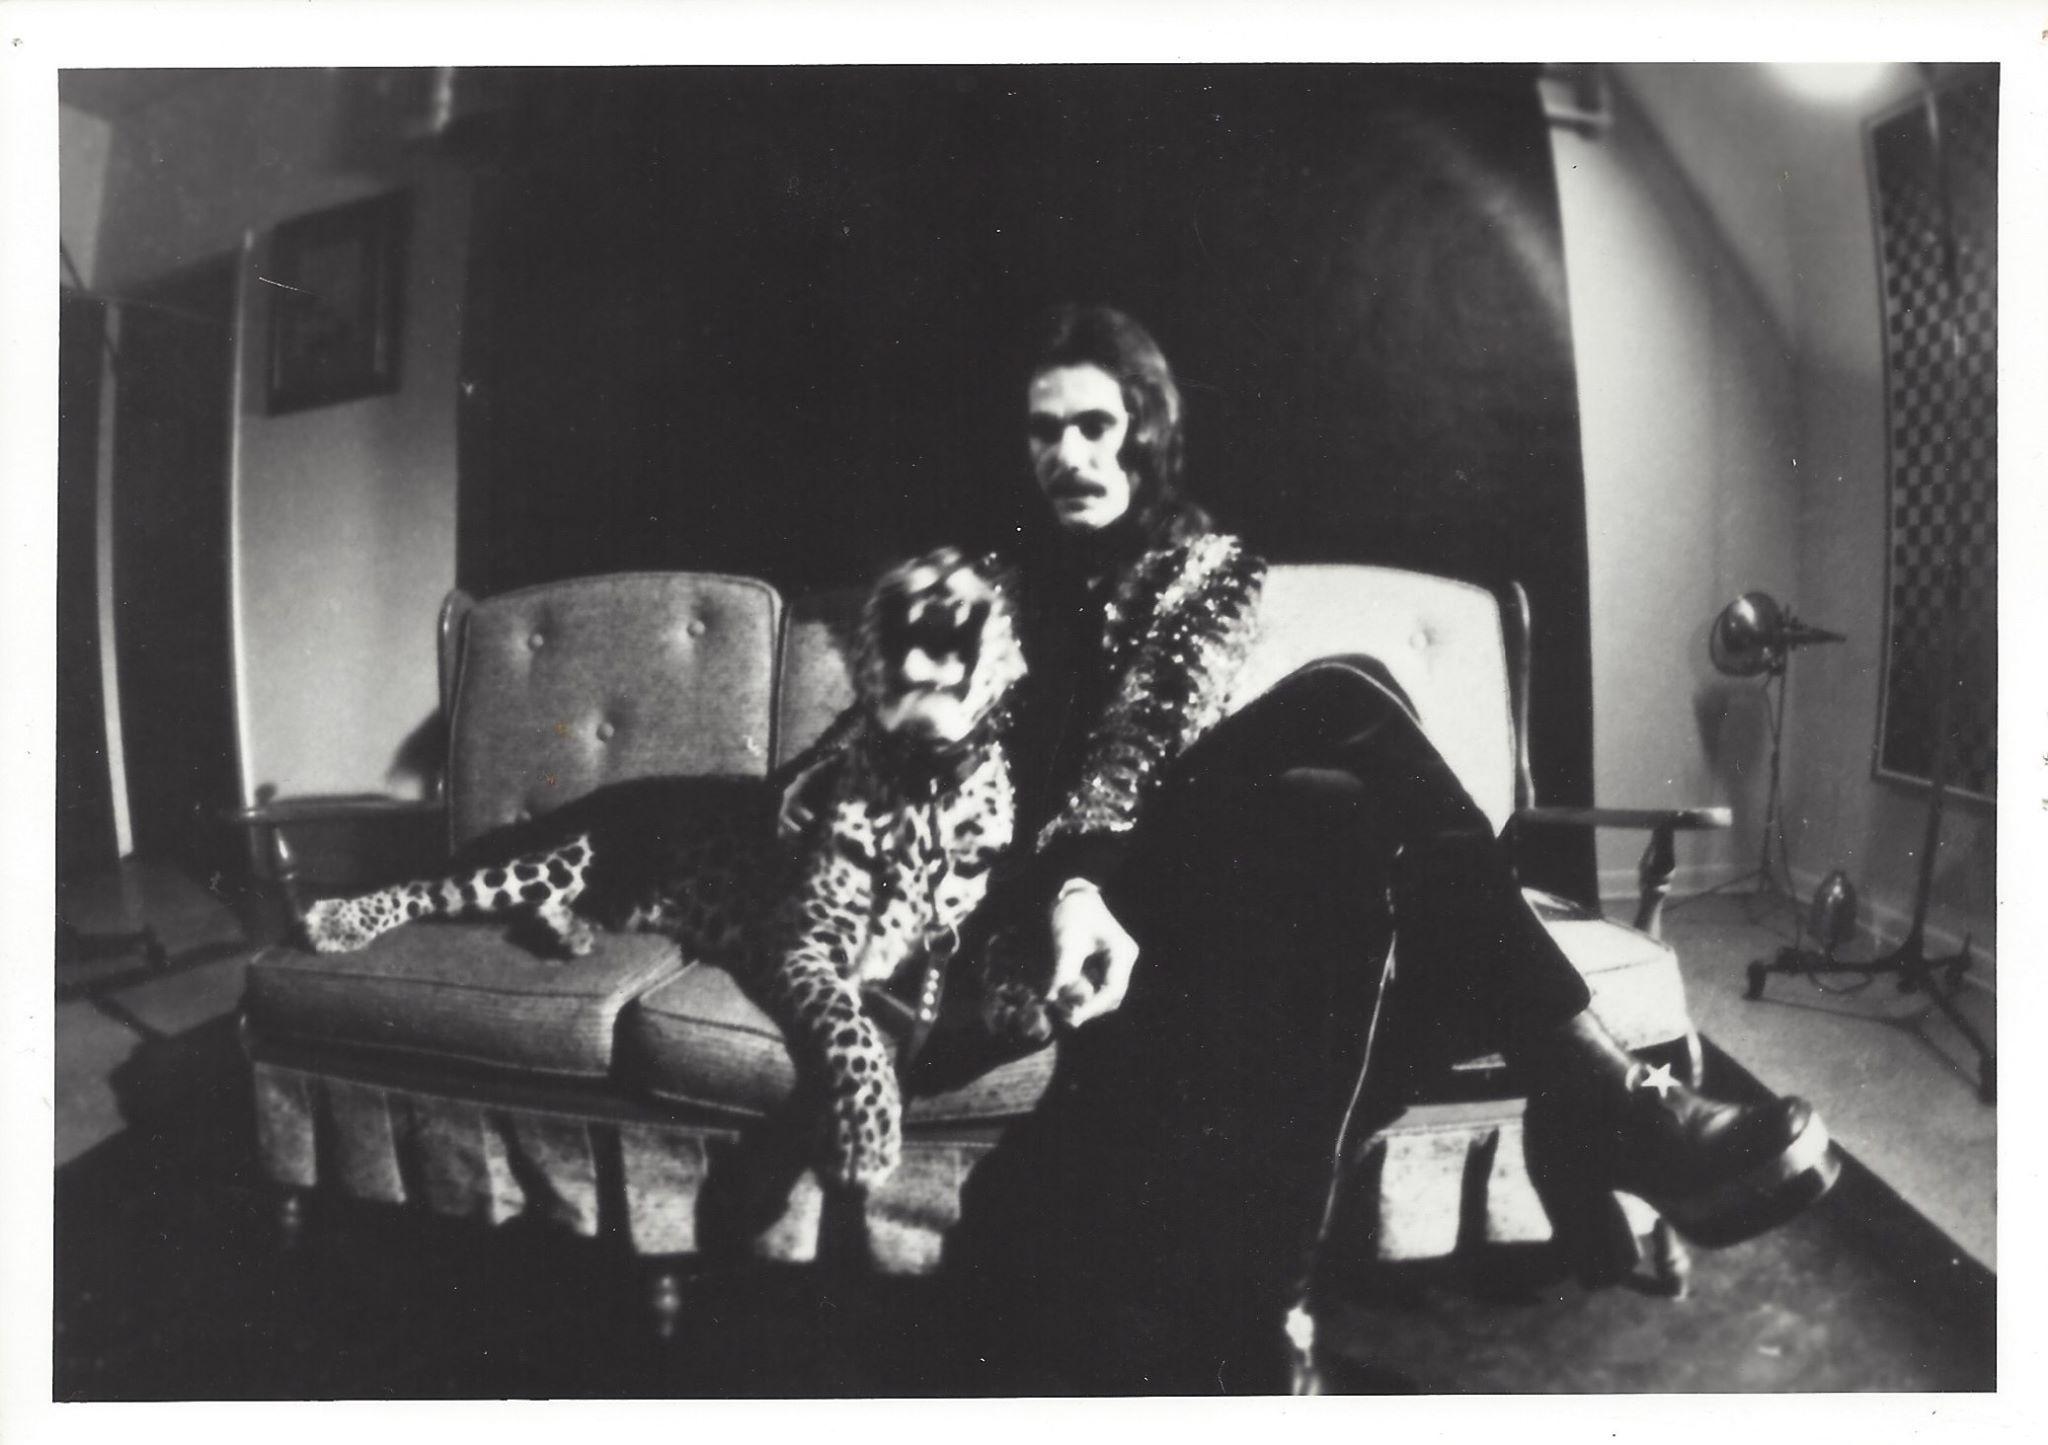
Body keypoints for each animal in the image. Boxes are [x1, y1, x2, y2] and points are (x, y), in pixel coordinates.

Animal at [299, 544, 1040, 1187]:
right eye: (900, 576)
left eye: (984, 571)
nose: (935, 584)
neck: (923, 787)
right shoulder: (804, 947)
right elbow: (852, 1031)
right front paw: (868, 1134)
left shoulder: (950, 934)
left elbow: (997, 942)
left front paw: (1022, 997)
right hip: (562, 860)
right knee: (436, 888)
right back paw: (340, 917)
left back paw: (571, 932)